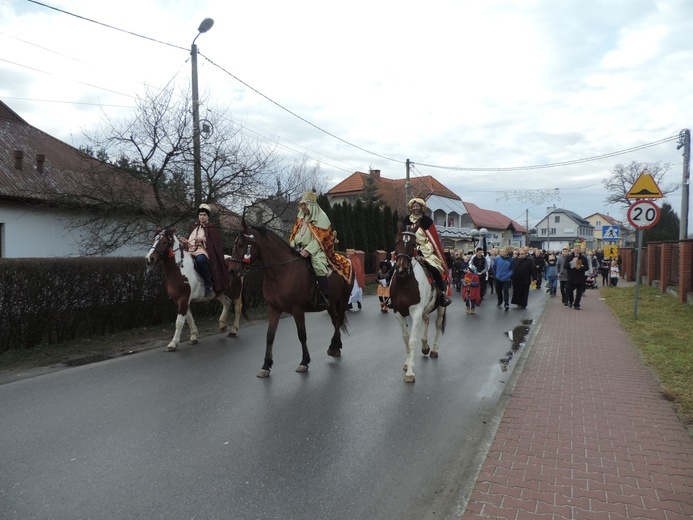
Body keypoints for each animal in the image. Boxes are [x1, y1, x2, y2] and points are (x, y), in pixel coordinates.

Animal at [228, 219, 352, 378]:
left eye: (241, 245)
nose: (232, 270)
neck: (282, 271)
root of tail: (346, 258)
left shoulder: (297, 310)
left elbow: (302, 335)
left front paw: (304, 362)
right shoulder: (273, 309)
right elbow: (270, 336)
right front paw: (266, 365)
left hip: (344, 298)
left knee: (339, 320)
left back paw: (332, 346)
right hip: (331, 304)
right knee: (335, 321)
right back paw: (336, 346)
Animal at [386, 221, 446, 384]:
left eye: (414, 244)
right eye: (397, 242)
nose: (401, 268)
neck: (404, 283)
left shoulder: (416, 312)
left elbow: (412, 340)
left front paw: (410, 373)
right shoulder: (399, 313)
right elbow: (406, 338)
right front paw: (407, 364)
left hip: (441, 308)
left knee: (438, 325)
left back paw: (434, 349)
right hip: (425, 309)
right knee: (427, 320)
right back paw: (425, 346)